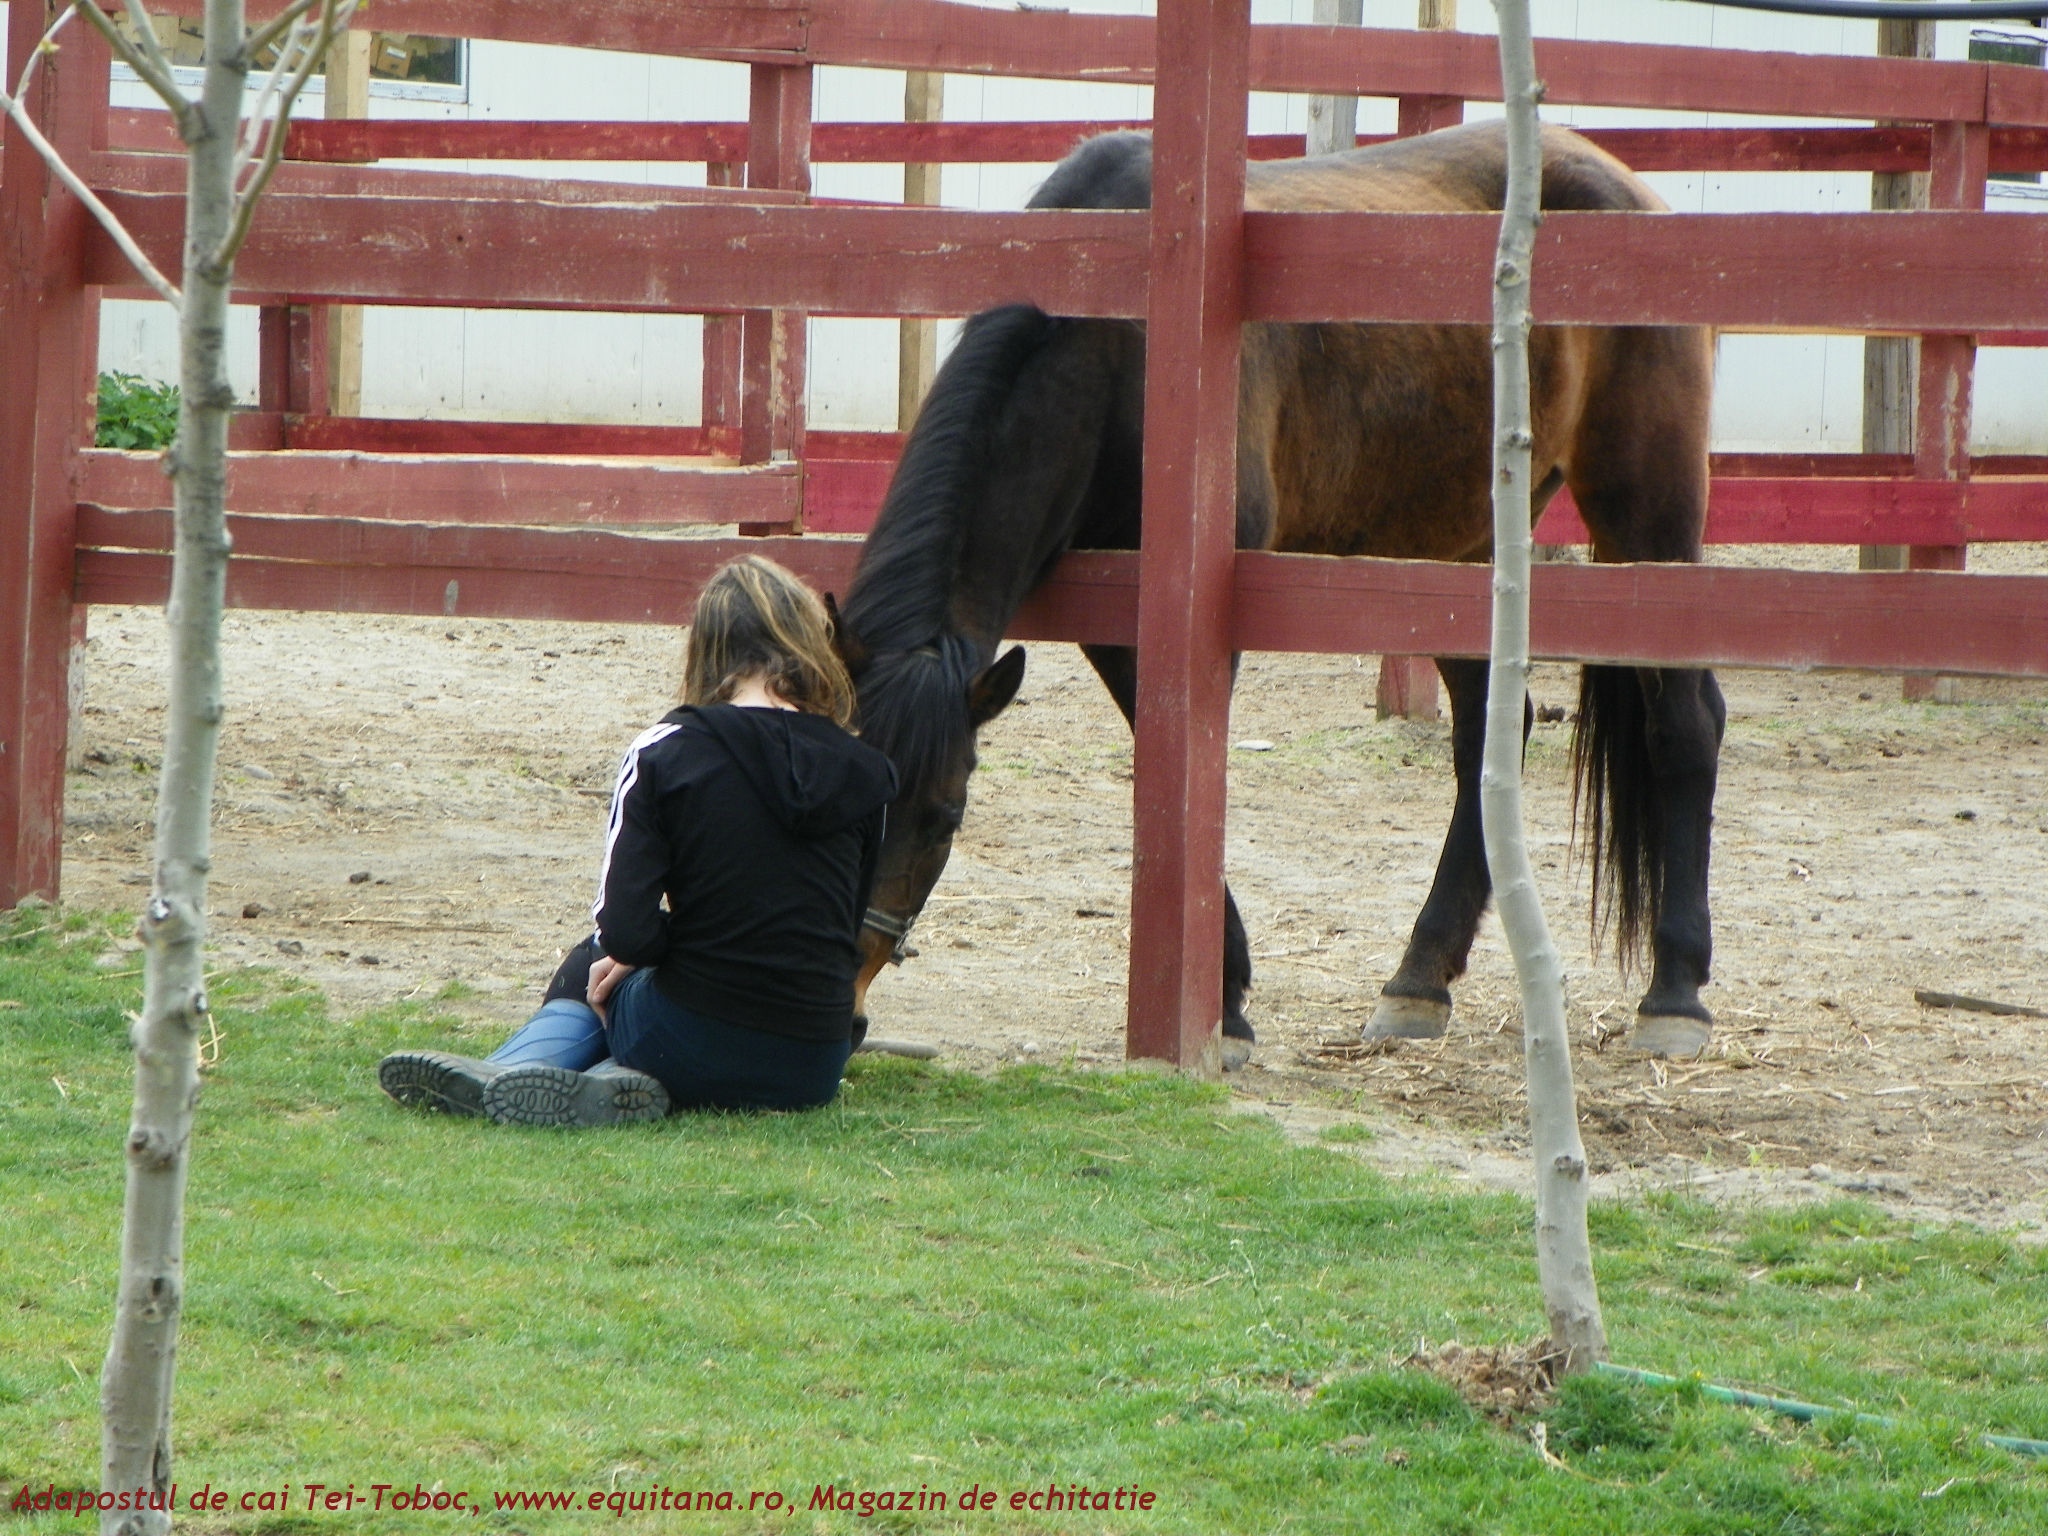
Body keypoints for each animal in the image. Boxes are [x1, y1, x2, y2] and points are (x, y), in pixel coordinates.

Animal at [831, 123, 1728, 1073]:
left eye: (943, 816)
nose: (842, 1017)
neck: (1119, 343)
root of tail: (1627, 186)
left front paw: (1220, 1006)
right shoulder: (1117, 628)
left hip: (1646, 516)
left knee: (1685, 723)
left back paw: (1674, 993)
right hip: (1463, 548)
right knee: (1491, 735)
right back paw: (1419, 979)